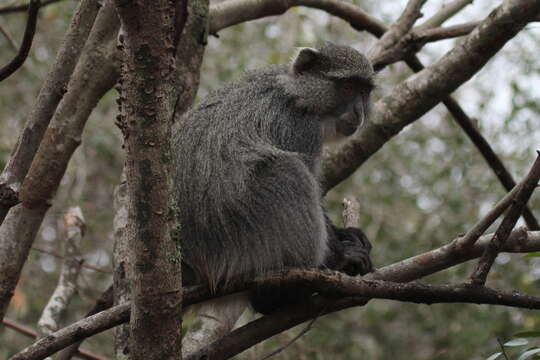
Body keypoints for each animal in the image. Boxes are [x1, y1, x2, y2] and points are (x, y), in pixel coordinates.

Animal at [174, 42, 376, 314]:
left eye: (364, 92)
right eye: (347, 88)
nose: (358, 112)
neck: (295, 93)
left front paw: (348, 233)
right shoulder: (300, 128)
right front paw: (341, 256)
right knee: (289, 171)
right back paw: (282, 294)